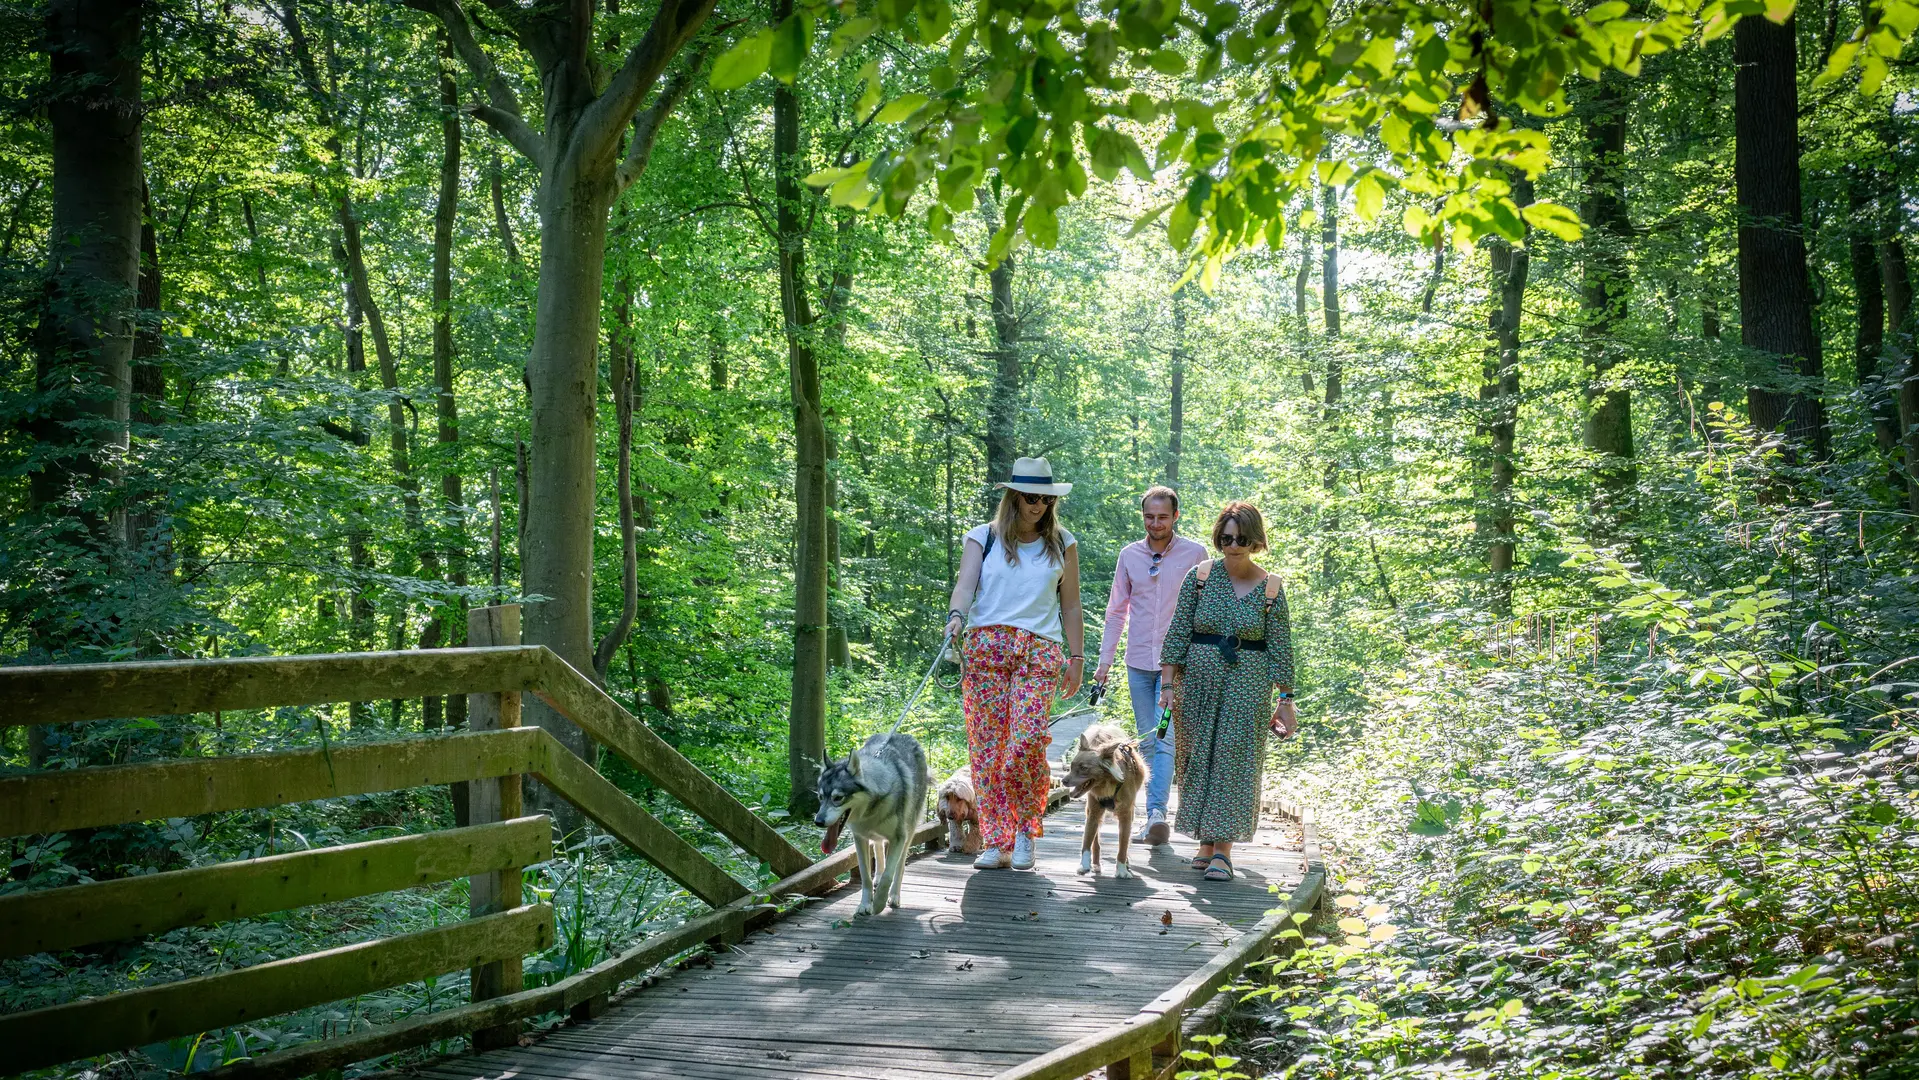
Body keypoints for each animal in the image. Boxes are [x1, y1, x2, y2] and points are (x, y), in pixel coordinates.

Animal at [809, 732, 928, 916]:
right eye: (821, 797)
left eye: (838, 798)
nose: (818, 821)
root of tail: (902, 734)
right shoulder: (860, 838)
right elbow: (865, 876)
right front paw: (865, 904)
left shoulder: (898, 838)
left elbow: (889, 875)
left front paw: (878, 903)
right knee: (879, 849)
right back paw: (877, 877)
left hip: (909, 833)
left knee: (900, 866)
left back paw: (894, 896)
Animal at [1059, 725, 1143, 878]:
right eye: (1072, 766)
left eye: (1084, 768)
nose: (1063, 781)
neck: (1106, 785)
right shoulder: (1093, 813)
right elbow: (1087, 842)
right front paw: (1084, 865)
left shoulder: (1126, 816)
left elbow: (1123, 845)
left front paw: (1122, 869)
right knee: (1096, 841)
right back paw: (1096, 864)